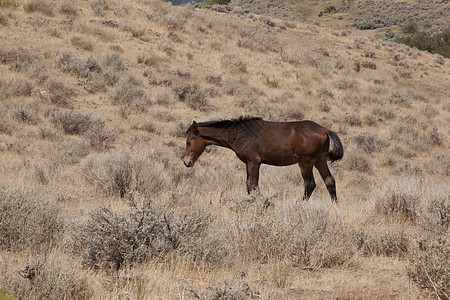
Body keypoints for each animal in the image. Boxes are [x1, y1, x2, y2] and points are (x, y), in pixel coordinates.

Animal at [183, 116, 344, 202]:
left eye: (189, 142)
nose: (186, 162)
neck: (240, 133)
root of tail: (325, 130)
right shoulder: (249, 163)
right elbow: (249, 185)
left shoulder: (254, 162)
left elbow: (253, 185)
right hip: (320, 161)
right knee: (330, 181)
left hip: (306, 163)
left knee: (310, 184)